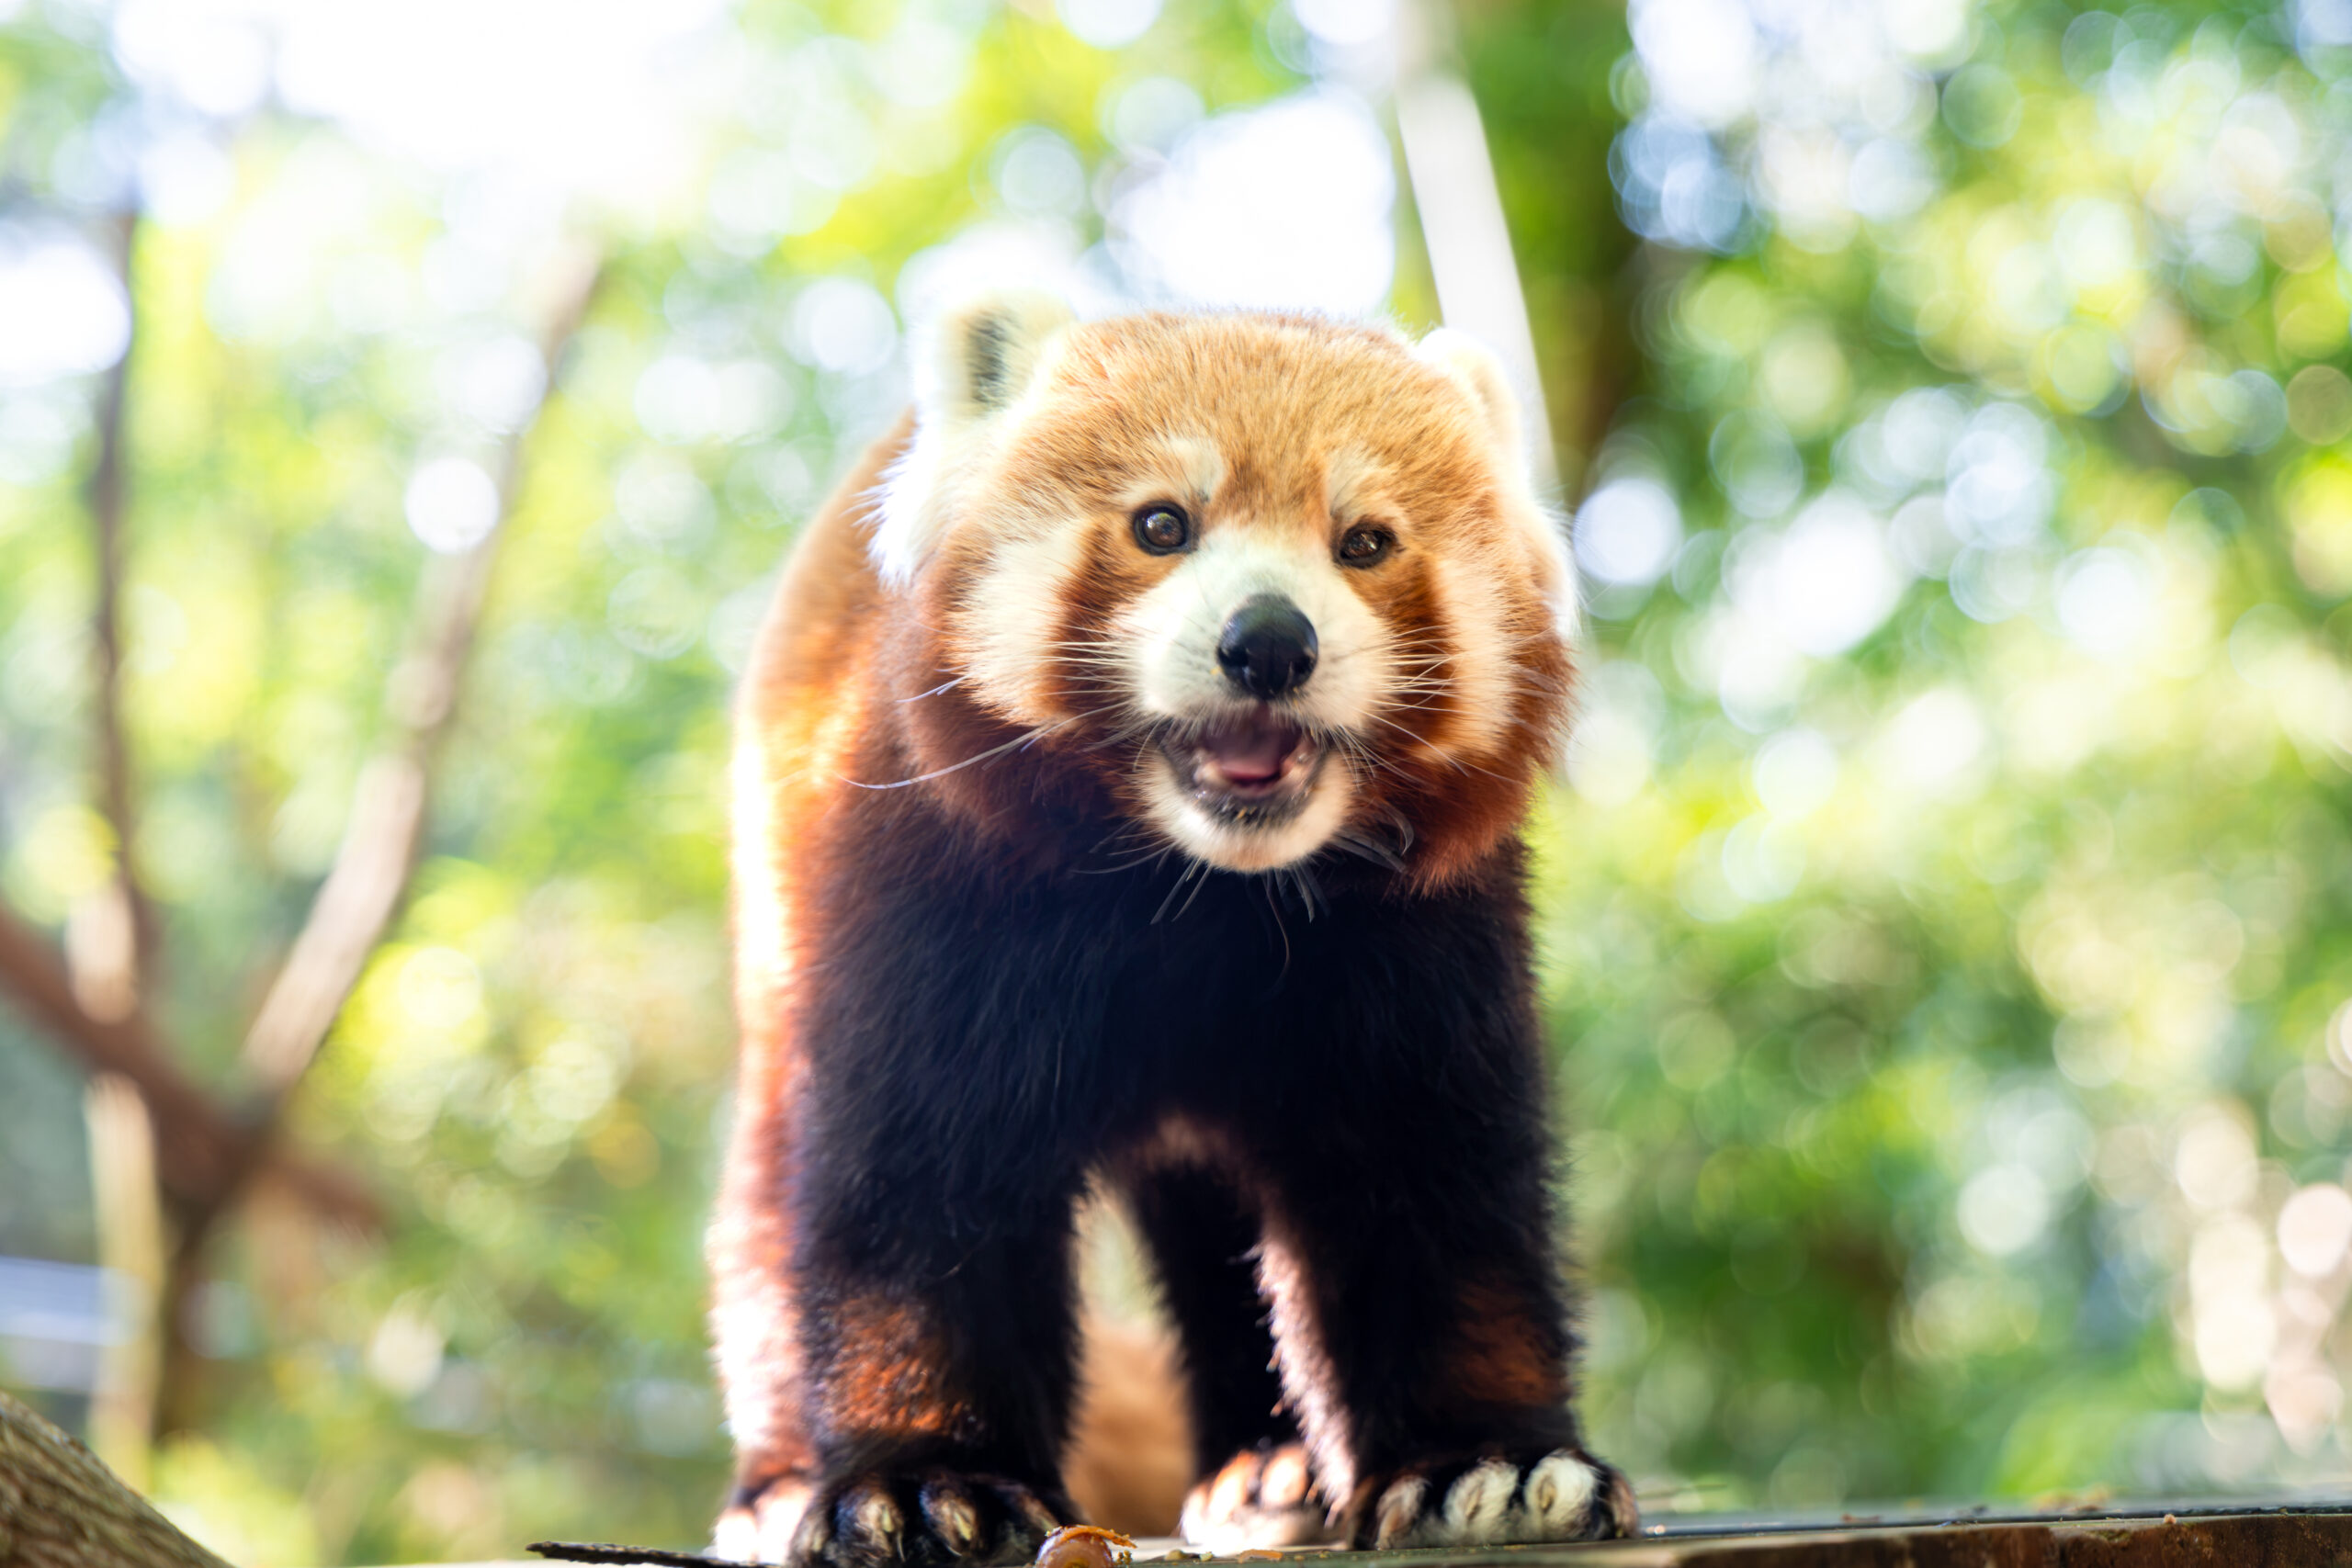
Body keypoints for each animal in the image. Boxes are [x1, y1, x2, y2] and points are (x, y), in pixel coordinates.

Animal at [706, 295, 1633, 1566]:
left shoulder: (1416, 944)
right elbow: (918, 1186)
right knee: (767, 1190)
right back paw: (778, 1483)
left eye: (1364, 542)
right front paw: (926, 1479)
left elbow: (1424, 1182)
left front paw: (1484, 1462)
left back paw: (1271, 1470)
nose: (1269, 642)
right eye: (1161, 524)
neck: (1201, 892)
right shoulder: (936, 901)